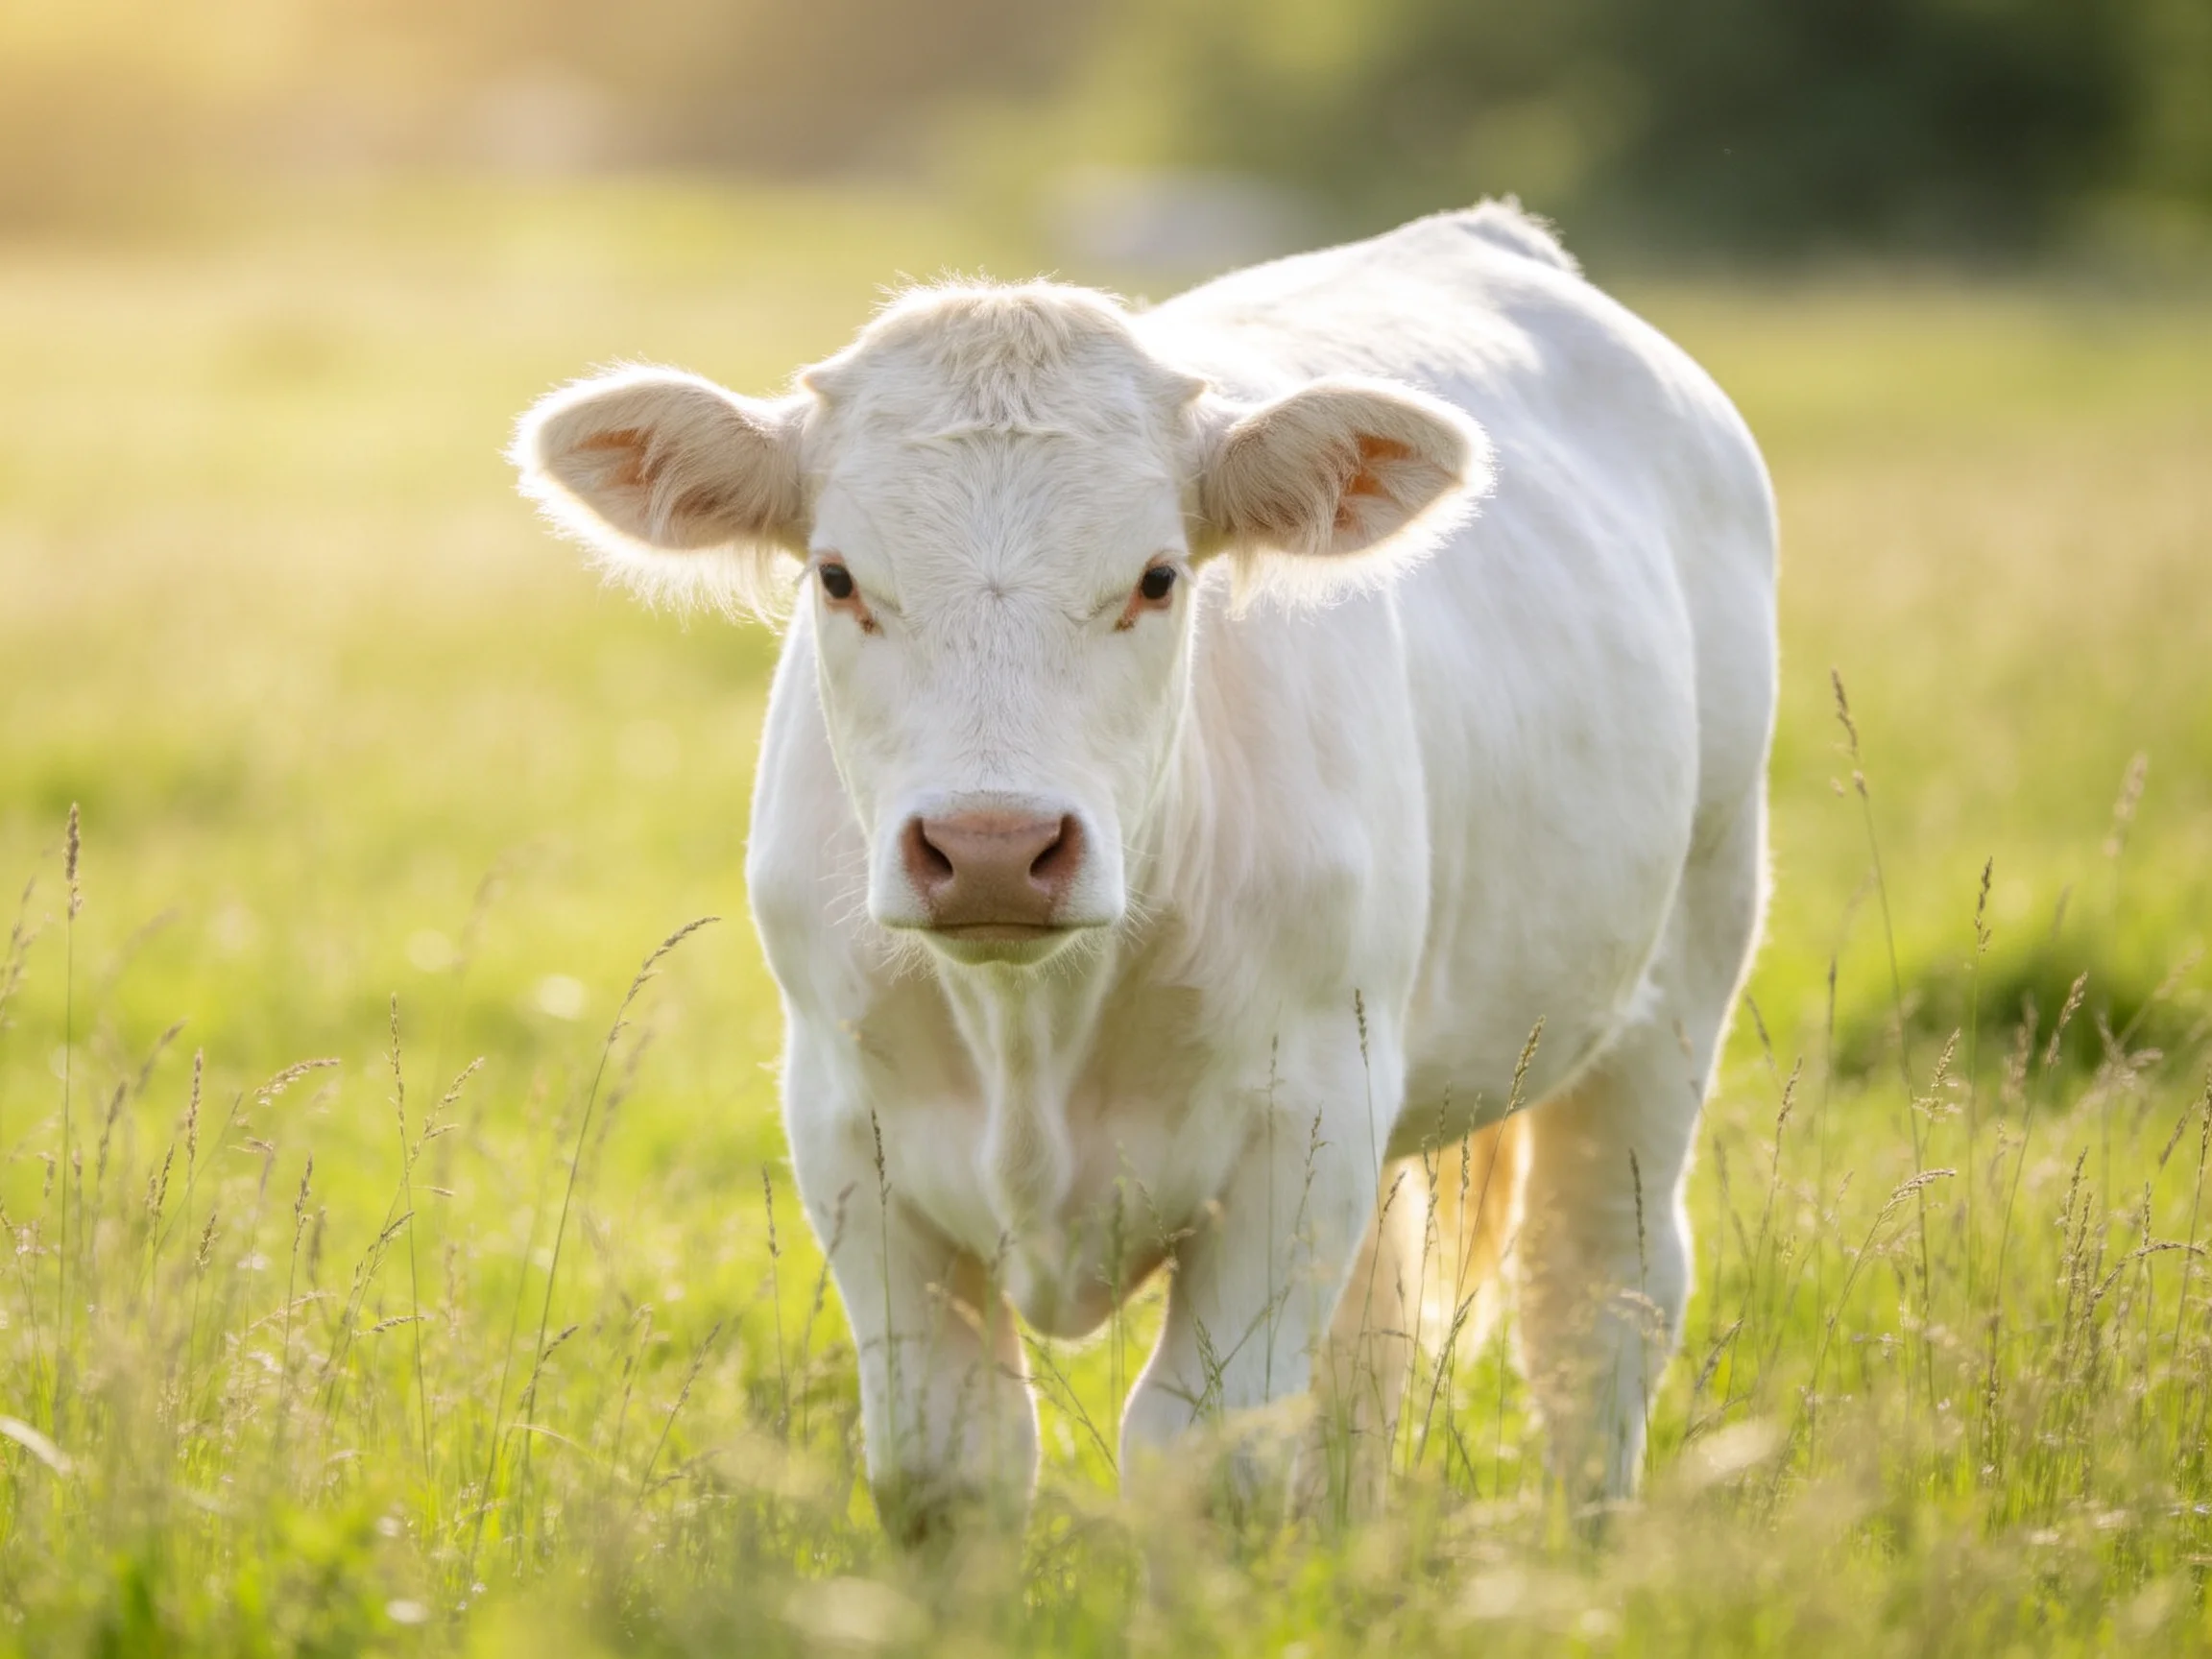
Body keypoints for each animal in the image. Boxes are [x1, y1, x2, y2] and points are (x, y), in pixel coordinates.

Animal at [512, 201, 1777, 1540]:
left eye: (1159, 578)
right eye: (838, 576)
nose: (993, 847)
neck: (1033, 1027)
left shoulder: (1298, 1133)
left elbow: (1202, 1457)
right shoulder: (848, 1129)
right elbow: (952, 1460)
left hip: (1681, 971)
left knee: (1596, 1297)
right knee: (1377, 1347)